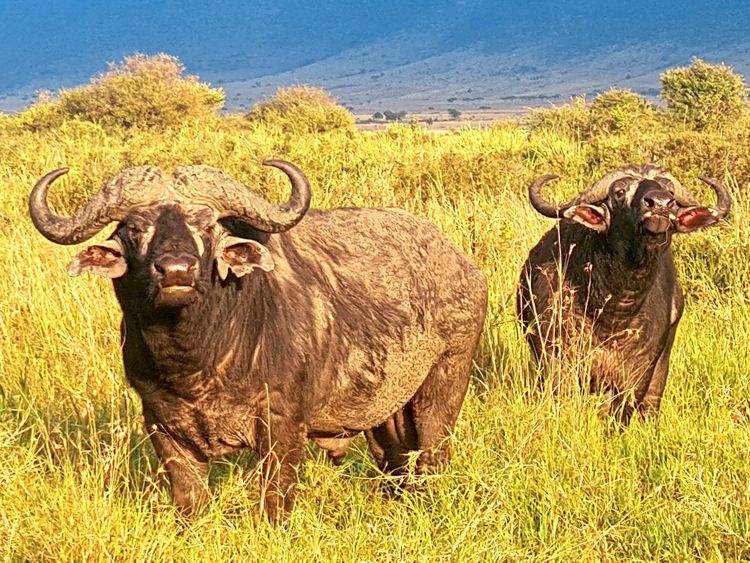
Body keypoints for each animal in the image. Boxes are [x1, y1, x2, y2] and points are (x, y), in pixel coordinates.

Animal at [29, 159, 490, 520]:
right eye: (136, 228)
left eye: (208, 226)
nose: (176, 271)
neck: (198, 360)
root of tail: (463, 264)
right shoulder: (161, 425)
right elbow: (189, 500)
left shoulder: (282, 425)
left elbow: (275, 497)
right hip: (385, 411)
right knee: (395, 460)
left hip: (443, 387)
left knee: (432, 453)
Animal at [520, 163, 732, 424]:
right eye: (620, 192)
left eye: (670, 191)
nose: (660, 204)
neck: (611, 314)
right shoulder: (556, 356)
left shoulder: (639, 374)